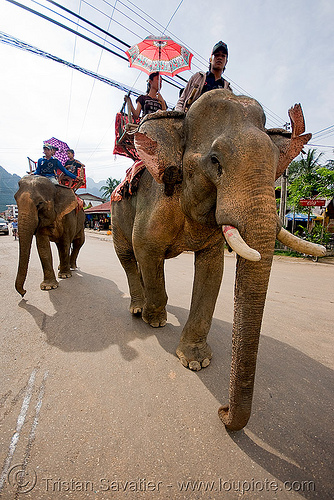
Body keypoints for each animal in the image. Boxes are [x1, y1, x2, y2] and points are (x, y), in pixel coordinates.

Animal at [111, 89, 324, 430]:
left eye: (276, 166)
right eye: (215, 161)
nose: (223, 412)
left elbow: (212, 268)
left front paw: (196, 361)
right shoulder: (156, 199)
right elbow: (145, 247)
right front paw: (155, 319)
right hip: (117, 210)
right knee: (129, 255)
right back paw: (139, 310)